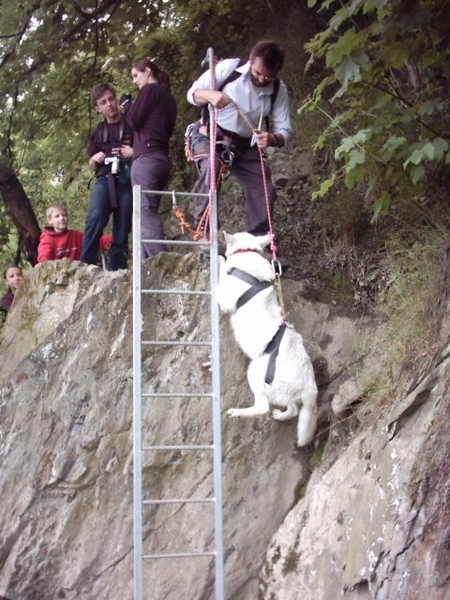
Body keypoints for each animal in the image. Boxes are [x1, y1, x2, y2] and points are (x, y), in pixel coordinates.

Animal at [217, 232, 316, 448]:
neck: (247, 253)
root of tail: (310, 386)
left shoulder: (224, 300)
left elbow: (220, 274)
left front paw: (220, 260)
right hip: (284, 393)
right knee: (293, 410)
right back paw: (280, 415)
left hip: (254, 372)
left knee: (262, 407)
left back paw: (238, 412)